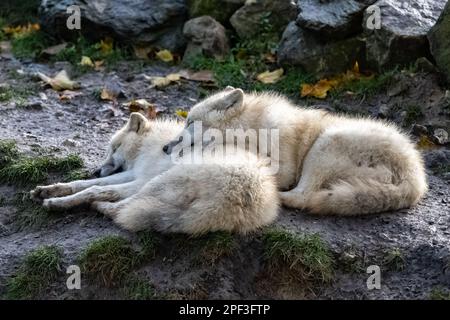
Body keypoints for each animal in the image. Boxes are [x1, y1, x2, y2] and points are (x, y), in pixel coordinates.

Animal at [29, 113, 278, 235]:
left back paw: (96, 206)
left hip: (156, 184)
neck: (150, 144)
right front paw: (50, 189)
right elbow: (83, 183)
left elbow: (95, 188)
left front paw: (57, 201)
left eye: (114, 148)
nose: (96, 170)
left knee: (120, 208)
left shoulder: (140, 179)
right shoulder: (134, 174)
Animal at [163, 87, 428, 216]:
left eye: (189, 122)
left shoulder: (285, 169)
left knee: (303, 197)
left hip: (324, 145)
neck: (254, 128)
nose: (165, 148)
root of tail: (415, 179)